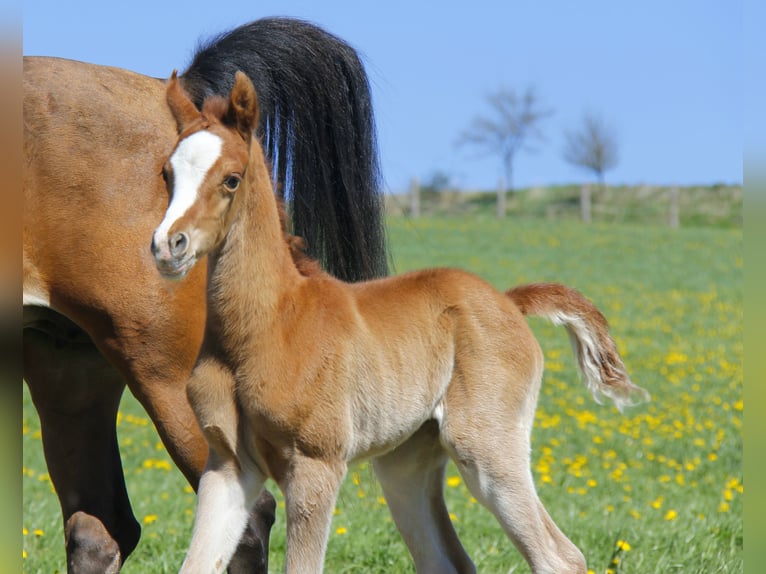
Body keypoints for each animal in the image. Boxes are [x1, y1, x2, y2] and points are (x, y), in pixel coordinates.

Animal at [23, 18, 387, 573]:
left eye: (228, 179)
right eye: (168, 175)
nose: (166, 245)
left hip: (166, 378)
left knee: (247, 517)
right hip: (67, 365)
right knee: (99, 530)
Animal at [152, 71, 650, 574]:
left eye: (231, 179)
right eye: (167, 173)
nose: (168, 245)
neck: (267, 326)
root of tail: (508, 301)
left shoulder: (316, 464)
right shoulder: (229, 466)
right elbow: (196, 564)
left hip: (487, 448)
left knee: (559, 556)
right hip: (404, 465)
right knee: (447, 560)